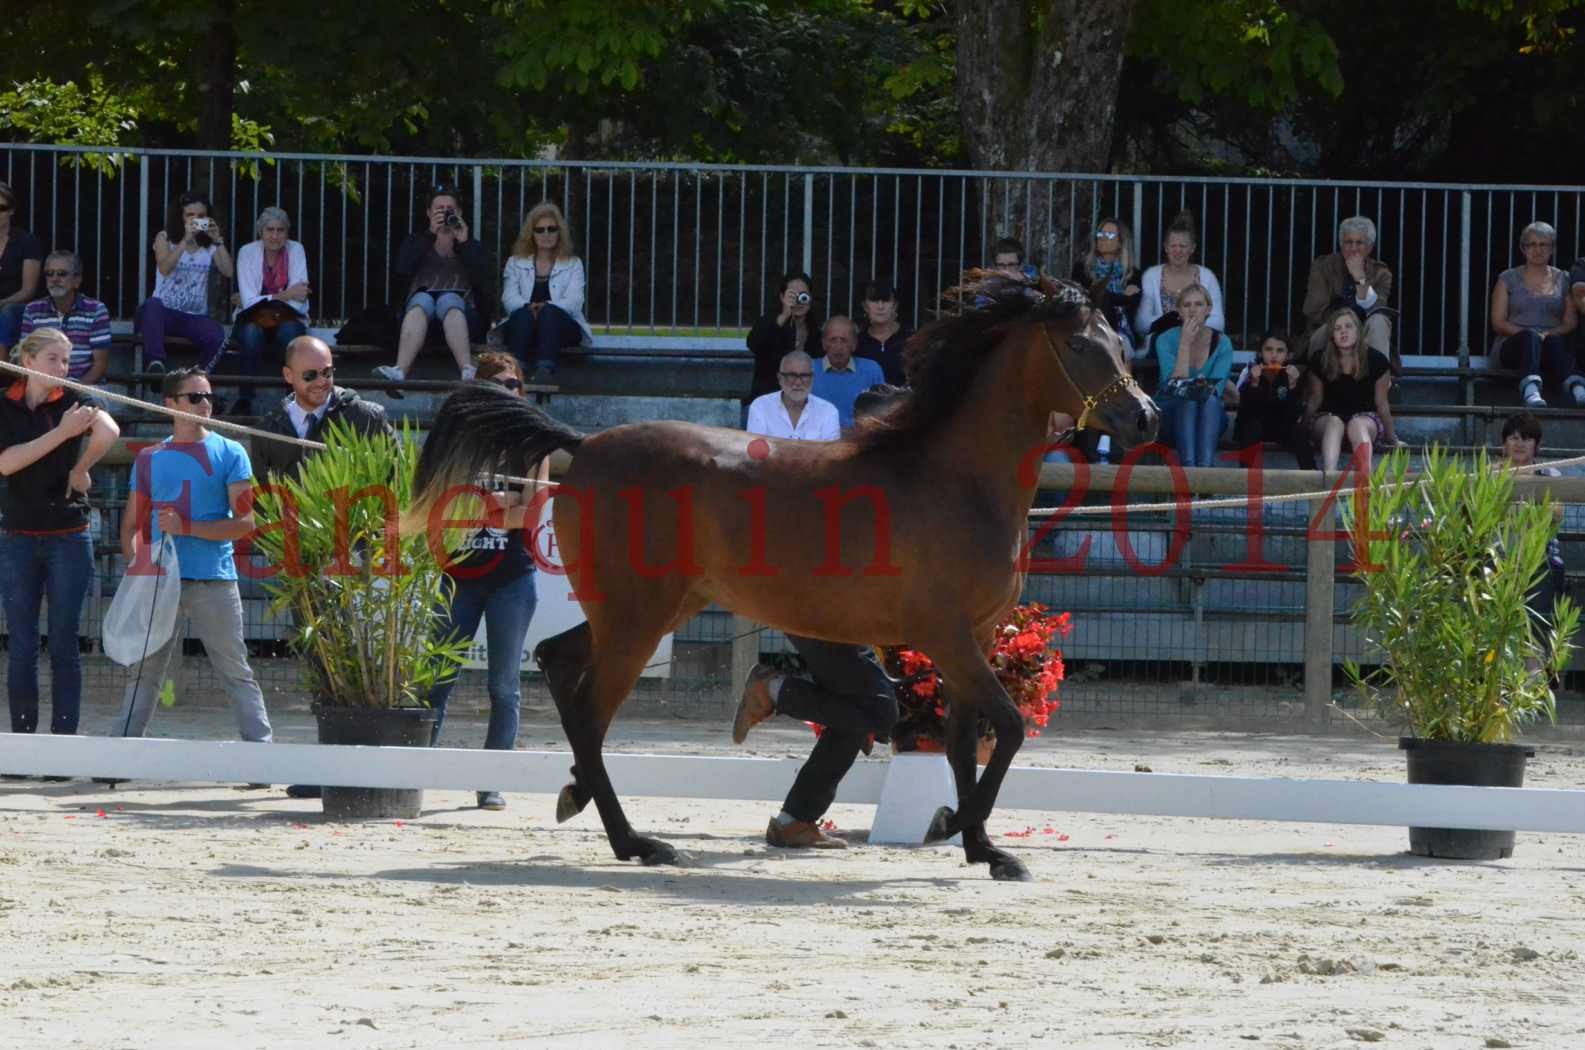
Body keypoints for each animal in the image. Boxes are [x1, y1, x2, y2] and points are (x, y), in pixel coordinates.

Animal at [405, 275, 1153, 881]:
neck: (958, 481)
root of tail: (583, 447)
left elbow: (969, 742)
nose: (1144, 417)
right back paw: (637, 844)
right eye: (1080, 346)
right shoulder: (947, 637)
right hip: (637, 620)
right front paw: (963, 834)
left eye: (1119, 342)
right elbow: (1011, 729)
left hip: (648, 611)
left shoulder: (974, 636)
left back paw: (576, 795)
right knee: (590, 713)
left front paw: (984, 850)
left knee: (558, 662)